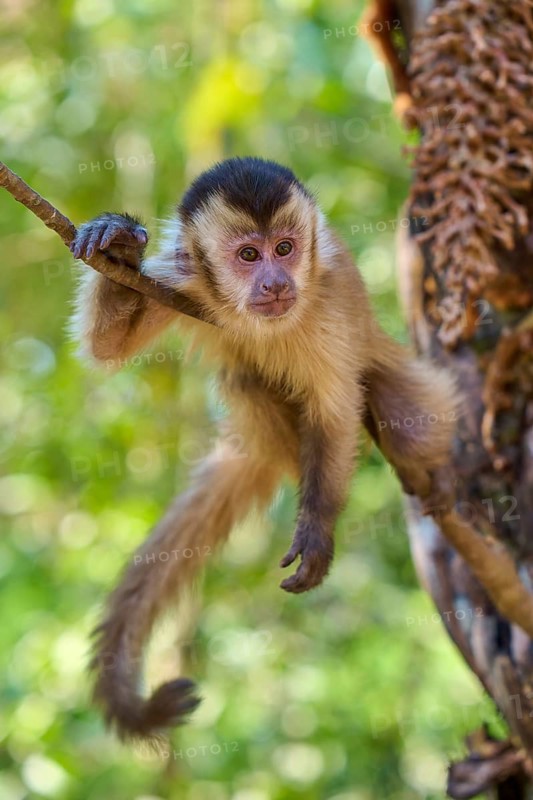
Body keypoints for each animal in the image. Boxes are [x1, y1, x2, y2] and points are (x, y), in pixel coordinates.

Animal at [69, 156, 457, 742]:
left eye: (286, 248)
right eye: (249, 256)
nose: (275, 281)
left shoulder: (325, 302)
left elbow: (336, 412)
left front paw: (317, 531)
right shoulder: (182, 280)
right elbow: (107, 347)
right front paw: (115, 241)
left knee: (403, 420)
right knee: (246, 378)